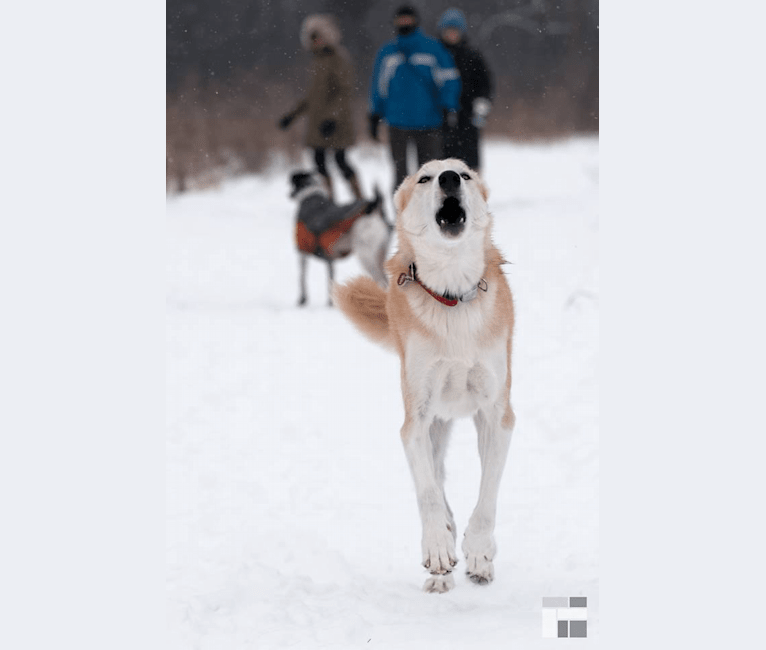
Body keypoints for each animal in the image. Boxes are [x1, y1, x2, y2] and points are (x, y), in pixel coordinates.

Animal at [334, 158, 516, 592]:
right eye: (425, 178)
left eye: (465, 175)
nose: (449, 179)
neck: (452, 297)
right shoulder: (415, 420)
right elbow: (429, 493)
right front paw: (437, 546)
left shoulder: (497, 416)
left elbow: (487, 494)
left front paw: (479, 550)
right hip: (433, 424)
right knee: (436, 478)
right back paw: (442, 558)